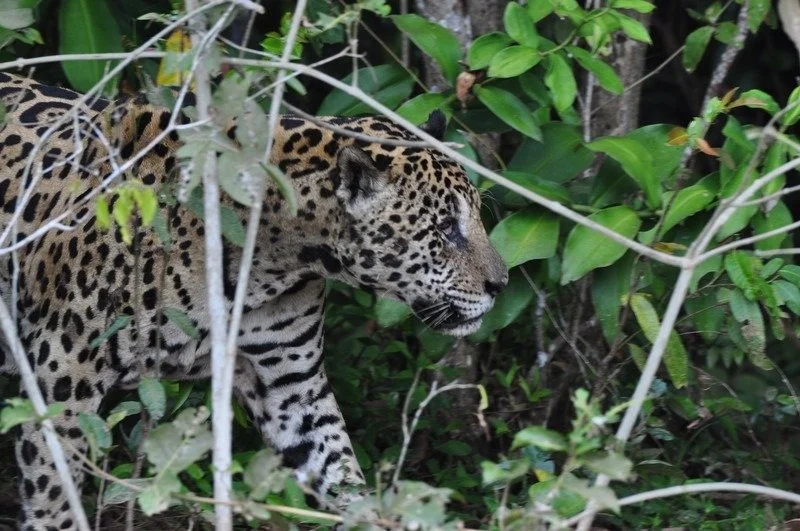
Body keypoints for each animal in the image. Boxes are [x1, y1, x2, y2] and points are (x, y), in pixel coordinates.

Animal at [0, 72, 508, 530]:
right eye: (445, 229)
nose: (501, 284)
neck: (275, 253)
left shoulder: (290, 382)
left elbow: (338, 467)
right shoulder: (63, 373)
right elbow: (53, 489)